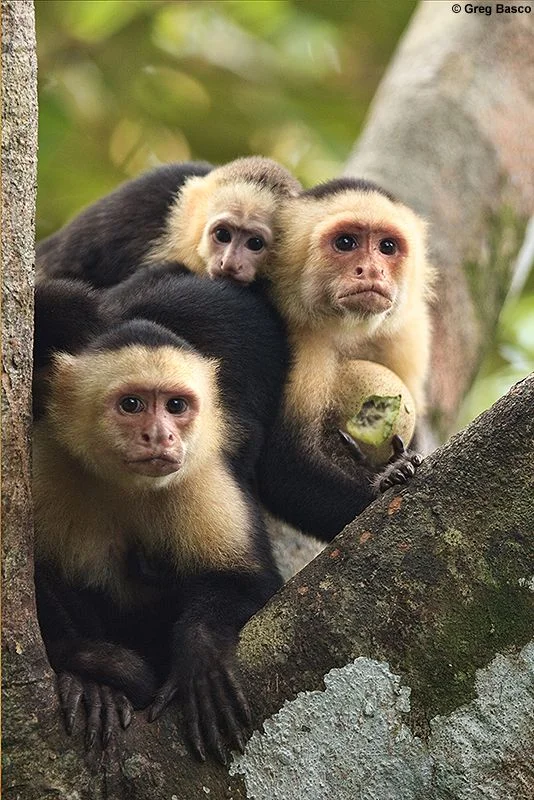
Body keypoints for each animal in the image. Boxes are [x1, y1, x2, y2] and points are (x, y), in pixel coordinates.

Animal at [33, 278, 288, 761]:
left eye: (176, 405)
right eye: (132, 404)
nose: (161, 436)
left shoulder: (203, 474)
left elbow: (249, 582)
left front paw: (201, 652)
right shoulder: (47, 463)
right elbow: (35, 580)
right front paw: (91, 678)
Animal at [256, 177, 433, 540]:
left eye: (387, 247)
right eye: (346, 242)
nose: (372, 270)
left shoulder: (409, 330)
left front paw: (398, 462)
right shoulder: (295, 334)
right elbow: (284, 467)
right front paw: (388, 481)